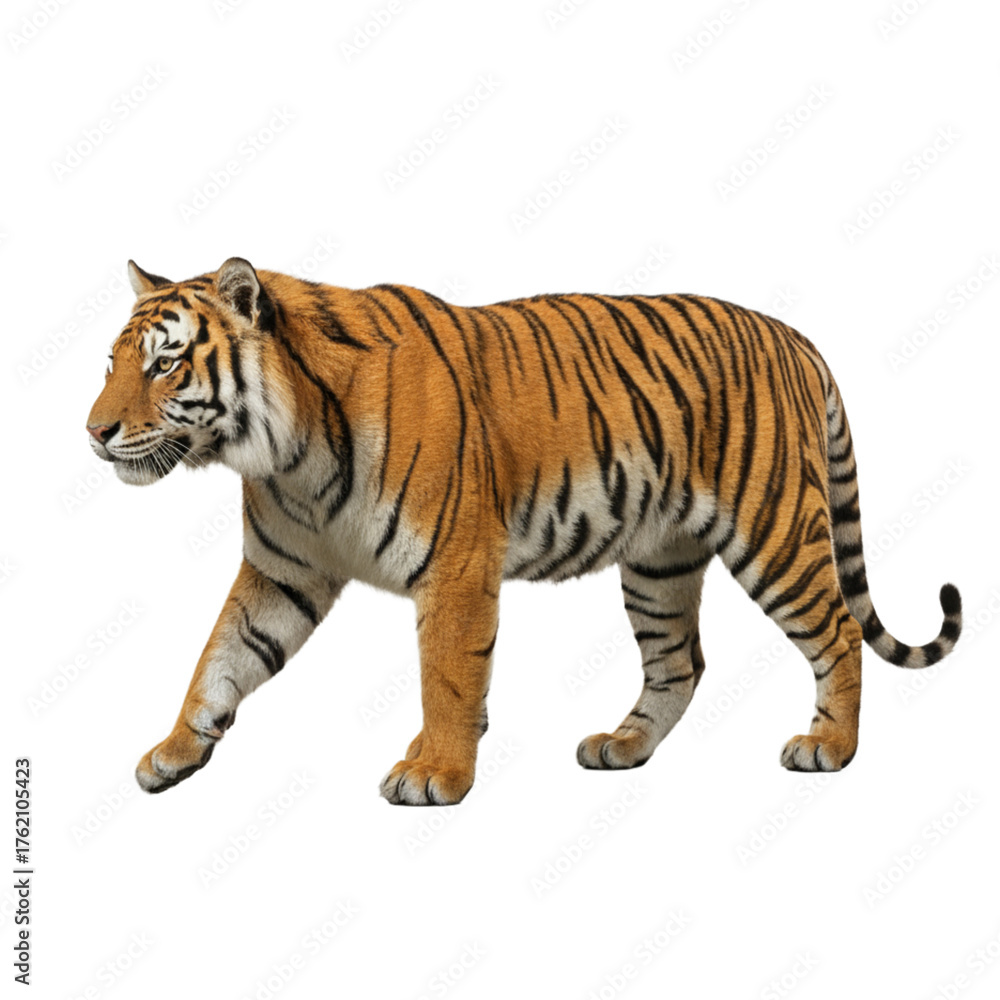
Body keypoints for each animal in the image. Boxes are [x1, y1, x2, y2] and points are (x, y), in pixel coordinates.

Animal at [86, 257, 962, 805]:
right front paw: (174, 752)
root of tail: (796, 338)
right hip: (659, 561)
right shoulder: (282, 572)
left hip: (775, 531)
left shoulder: (455, 564)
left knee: (838, 630)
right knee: (680, 662)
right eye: (111, 363)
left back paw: (829, 748)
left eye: (164, 364)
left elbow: (447, 677)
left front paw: (435, 774)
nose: (93, 432)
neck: (283, 454)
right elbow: (220, 659)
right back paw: (623, 747)